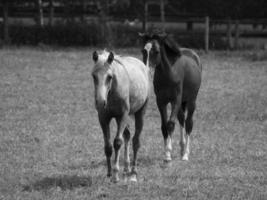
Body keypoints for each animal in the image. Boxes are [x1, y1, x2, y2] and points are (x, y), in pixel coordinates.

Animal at [92, 49, 151, 182]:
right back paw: (126, 169)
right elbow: (108, 146)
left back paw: (133, 173)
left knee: (135, 141)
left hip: (140, 113)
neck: (112, 93)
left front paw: (115, 175)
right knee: (128, 136)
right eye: (93, 76)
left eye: (109, 77)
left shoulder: (122, 116)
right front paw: (109, 173)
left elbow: (117, 142)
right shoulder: (103, 118)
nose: (100, 102)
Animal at [139, 32, 202, 162]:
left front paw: (168, 153)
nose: (146, 70)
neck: (170, 74)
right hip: (182, 102)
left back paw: (186, 154)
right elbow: (164, 126)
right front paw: (167, 153)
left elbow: (171, 124)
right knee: (182, 119)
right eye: (143, 51)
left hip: (191, 100)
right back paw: (182, 148)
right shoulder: (161, 101)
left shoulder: (175, 100)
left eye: (156, 51)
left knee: (188, 123)